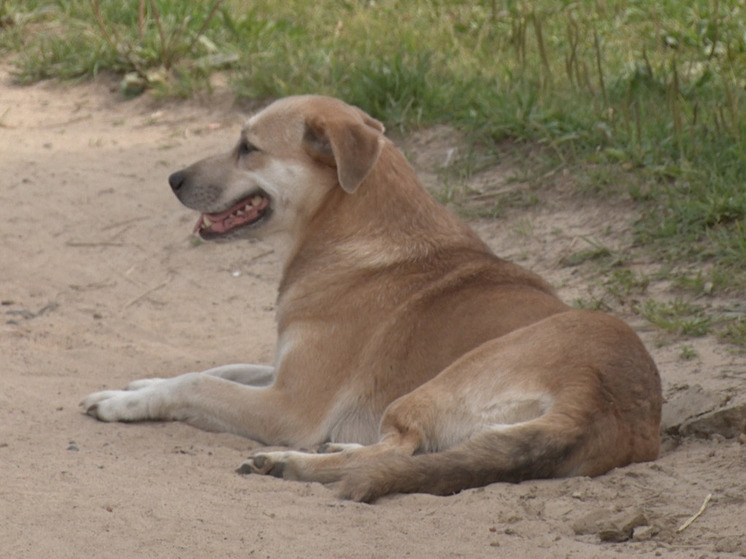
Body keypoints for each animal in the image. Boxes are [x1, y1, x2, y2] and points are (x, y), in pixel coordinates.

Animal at [81, 96, 660, 504]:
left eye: (248, 146)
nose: (173, 179)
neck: (351, 229)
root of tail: (603, 396)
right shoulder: (284, 372)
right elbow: (219, 368)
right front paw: (142, 383)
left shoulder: (290, 407)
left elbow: (198, 383)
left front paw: (124, 402)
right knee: (399, 454)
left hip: (435, 386)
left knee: (394, 450)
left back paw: (291, 463)